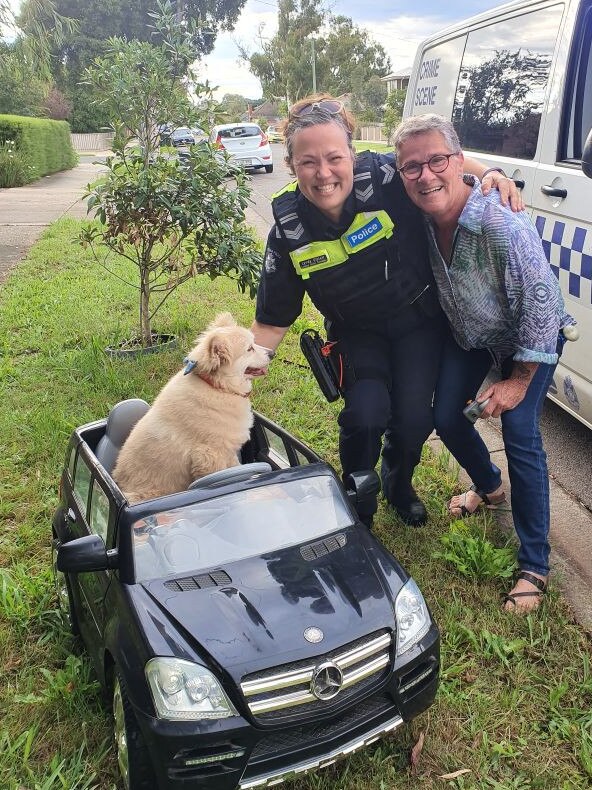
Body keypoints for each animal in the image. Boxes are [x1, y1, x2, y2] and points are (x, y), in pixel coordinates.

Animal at [112, 314, 274, 504]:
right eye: (249, 349)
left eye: (254, 342)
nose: (273, 353)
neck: (217, 386)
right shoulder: (210, 456)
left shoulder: (228, 452)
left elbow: (236, 466)